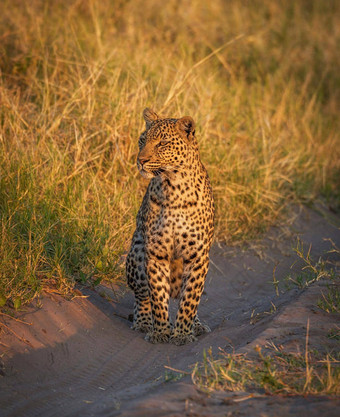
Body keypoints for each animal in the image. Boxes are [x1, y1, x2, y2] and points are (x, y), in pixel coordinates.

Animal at [126, 107, 214, 344]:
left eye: (162, 143)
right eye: (142, 140)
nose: (141, 160)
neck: (173, 186)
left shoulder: (197, 256)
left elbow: (190, 298)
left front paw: (183, 333)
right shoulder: (156, 253)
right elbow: (157, 295)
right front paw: (160, 331)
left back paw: (197, 325)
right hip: (136, 254)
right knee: (141, 296)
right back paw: (143, 322)